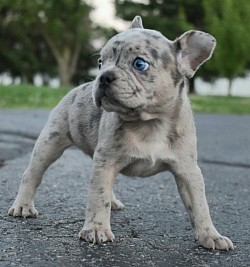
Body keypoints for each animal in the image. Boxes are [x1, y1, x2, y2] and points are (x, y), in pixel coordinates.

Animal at [8, 16, 234, 251]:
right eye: (100, 63)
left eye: (140, 64)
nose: (102, 76)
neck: (150, 123)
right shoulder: (105, 162)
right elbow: (98, 196)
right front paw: (96, 229)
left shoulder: (188, 171)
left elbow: (199, 205)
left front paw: (210, 235)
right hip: (50, 143)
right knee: (32, 174)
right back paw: (23, 206)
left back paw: (114, 202)